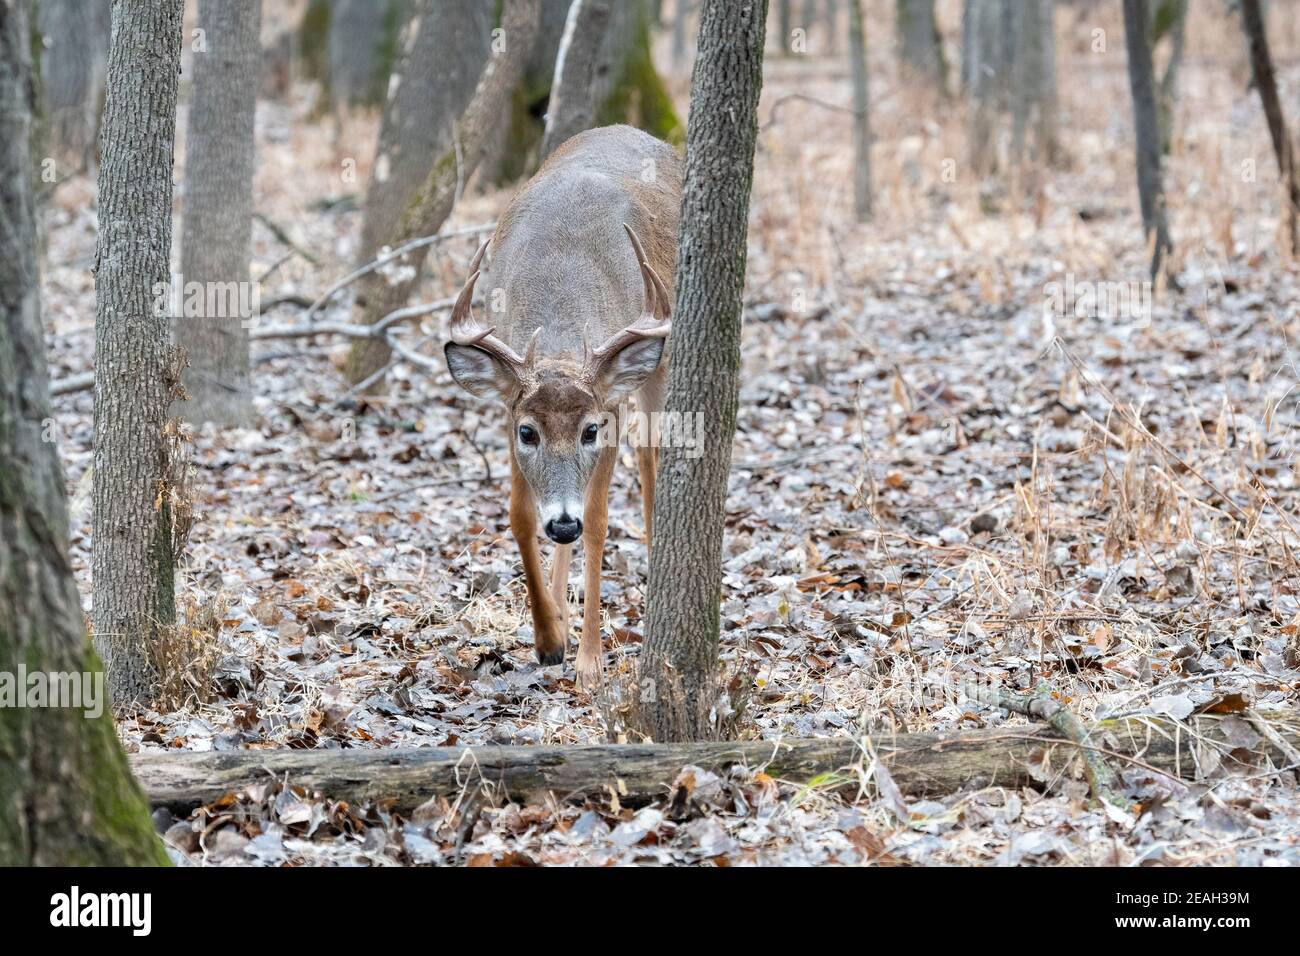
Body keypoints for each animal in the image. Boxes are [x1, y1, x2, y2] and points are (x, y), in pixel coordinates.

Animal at [443, 125, 683, 689]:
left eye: (589, 430)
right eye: (528, 432)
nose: (563, 523)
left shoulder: (612, 406)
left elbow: (598, 521)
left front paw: (590, 662)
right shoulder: (505, 408)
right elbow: (518, 514)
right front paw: (550, 636)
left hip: (658, 358)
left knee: (651, 455)